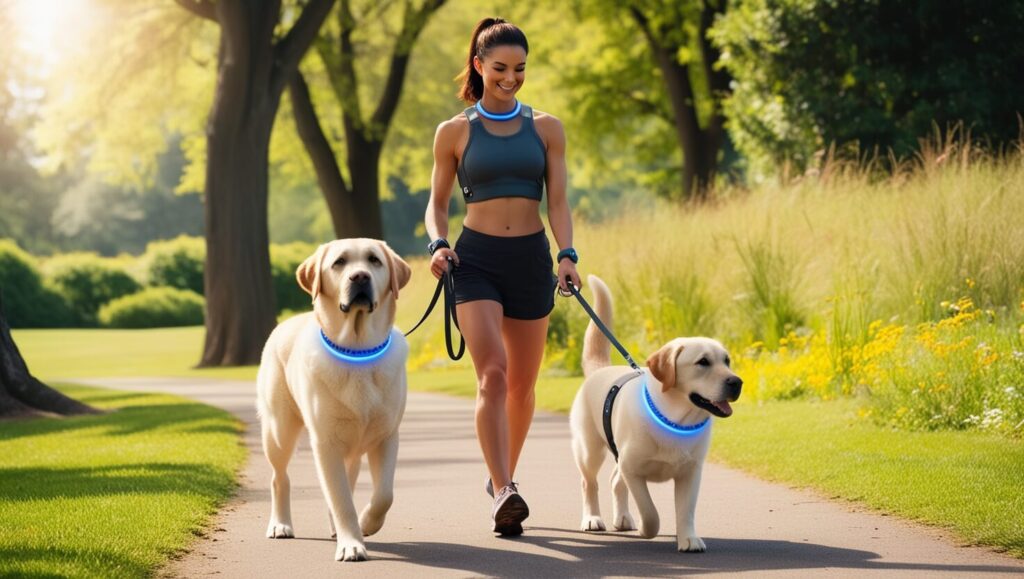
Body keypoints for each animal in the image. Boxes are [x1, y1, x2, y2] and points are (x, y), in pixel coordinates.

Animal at [256, 236, 411, 561]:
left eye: (374, 260)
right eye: (339, 262)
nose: (360, 277)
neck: (357, 350)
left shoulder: (386, 436)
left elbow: (384, 495)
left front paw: (366, 523)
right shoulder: (326, 442)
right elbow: (341, 500)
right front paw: (351, 544)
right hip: (279, 431)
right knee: (279, 477)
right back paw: (280, 524)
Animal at [569, 274, 745, 549]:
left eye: (727, 361)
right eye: (703, 362)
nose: (737, 382)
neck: (675, 419)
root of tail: (600, 369)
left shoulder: (690, 473)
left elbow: (686, 510)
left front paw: (689, 539)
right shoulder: (633, 469)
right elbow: (650, 511)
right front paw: (646, 528)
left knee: (615, 481)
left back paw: (622, 517)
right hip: (590, 450)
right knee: (589, 482)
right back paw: (592, 518)